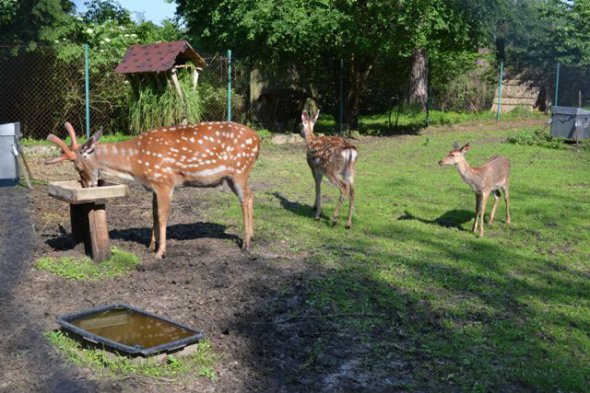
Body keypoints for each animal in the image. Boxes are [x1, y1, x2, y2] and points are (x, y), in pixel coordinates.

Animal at [49, 121, 262, 258]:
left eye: (78, 166)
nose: (88, 187)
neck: (135, 163)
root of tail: (258, 140)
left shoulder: (164, 181)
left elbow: (163, 214)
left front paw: (160, 252)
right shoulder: (153, 185)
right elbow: (153, 214)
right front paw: (151, 245)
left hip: (240, 170)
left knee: (246, 198)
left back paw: (246, 244)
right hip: (234, 176)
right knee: (251, 196)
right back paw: (251, 237)